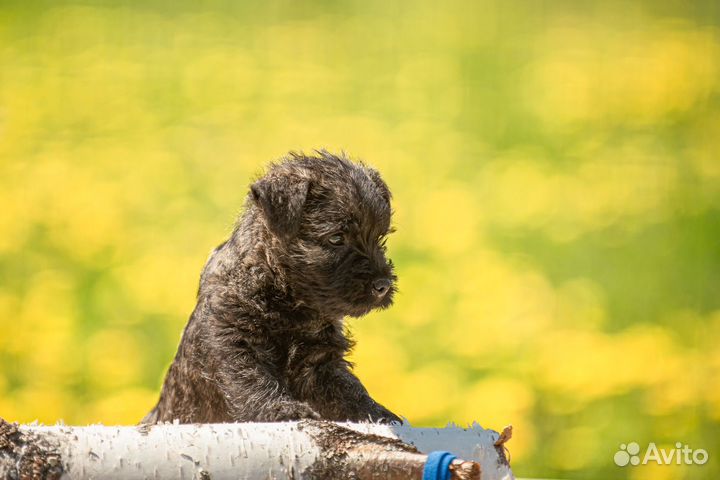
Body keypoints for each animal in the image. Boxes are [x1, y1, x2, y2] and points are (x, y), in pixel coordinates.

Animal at [141, 150, 400, 424]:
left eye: (380, 238)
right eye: (336, 238)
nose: (383, 285)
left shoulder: (320, 362)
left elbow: (350, 389)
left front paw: (379, 412)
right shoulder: (234, 341)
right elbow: (253, 382)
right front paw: (283, 410)